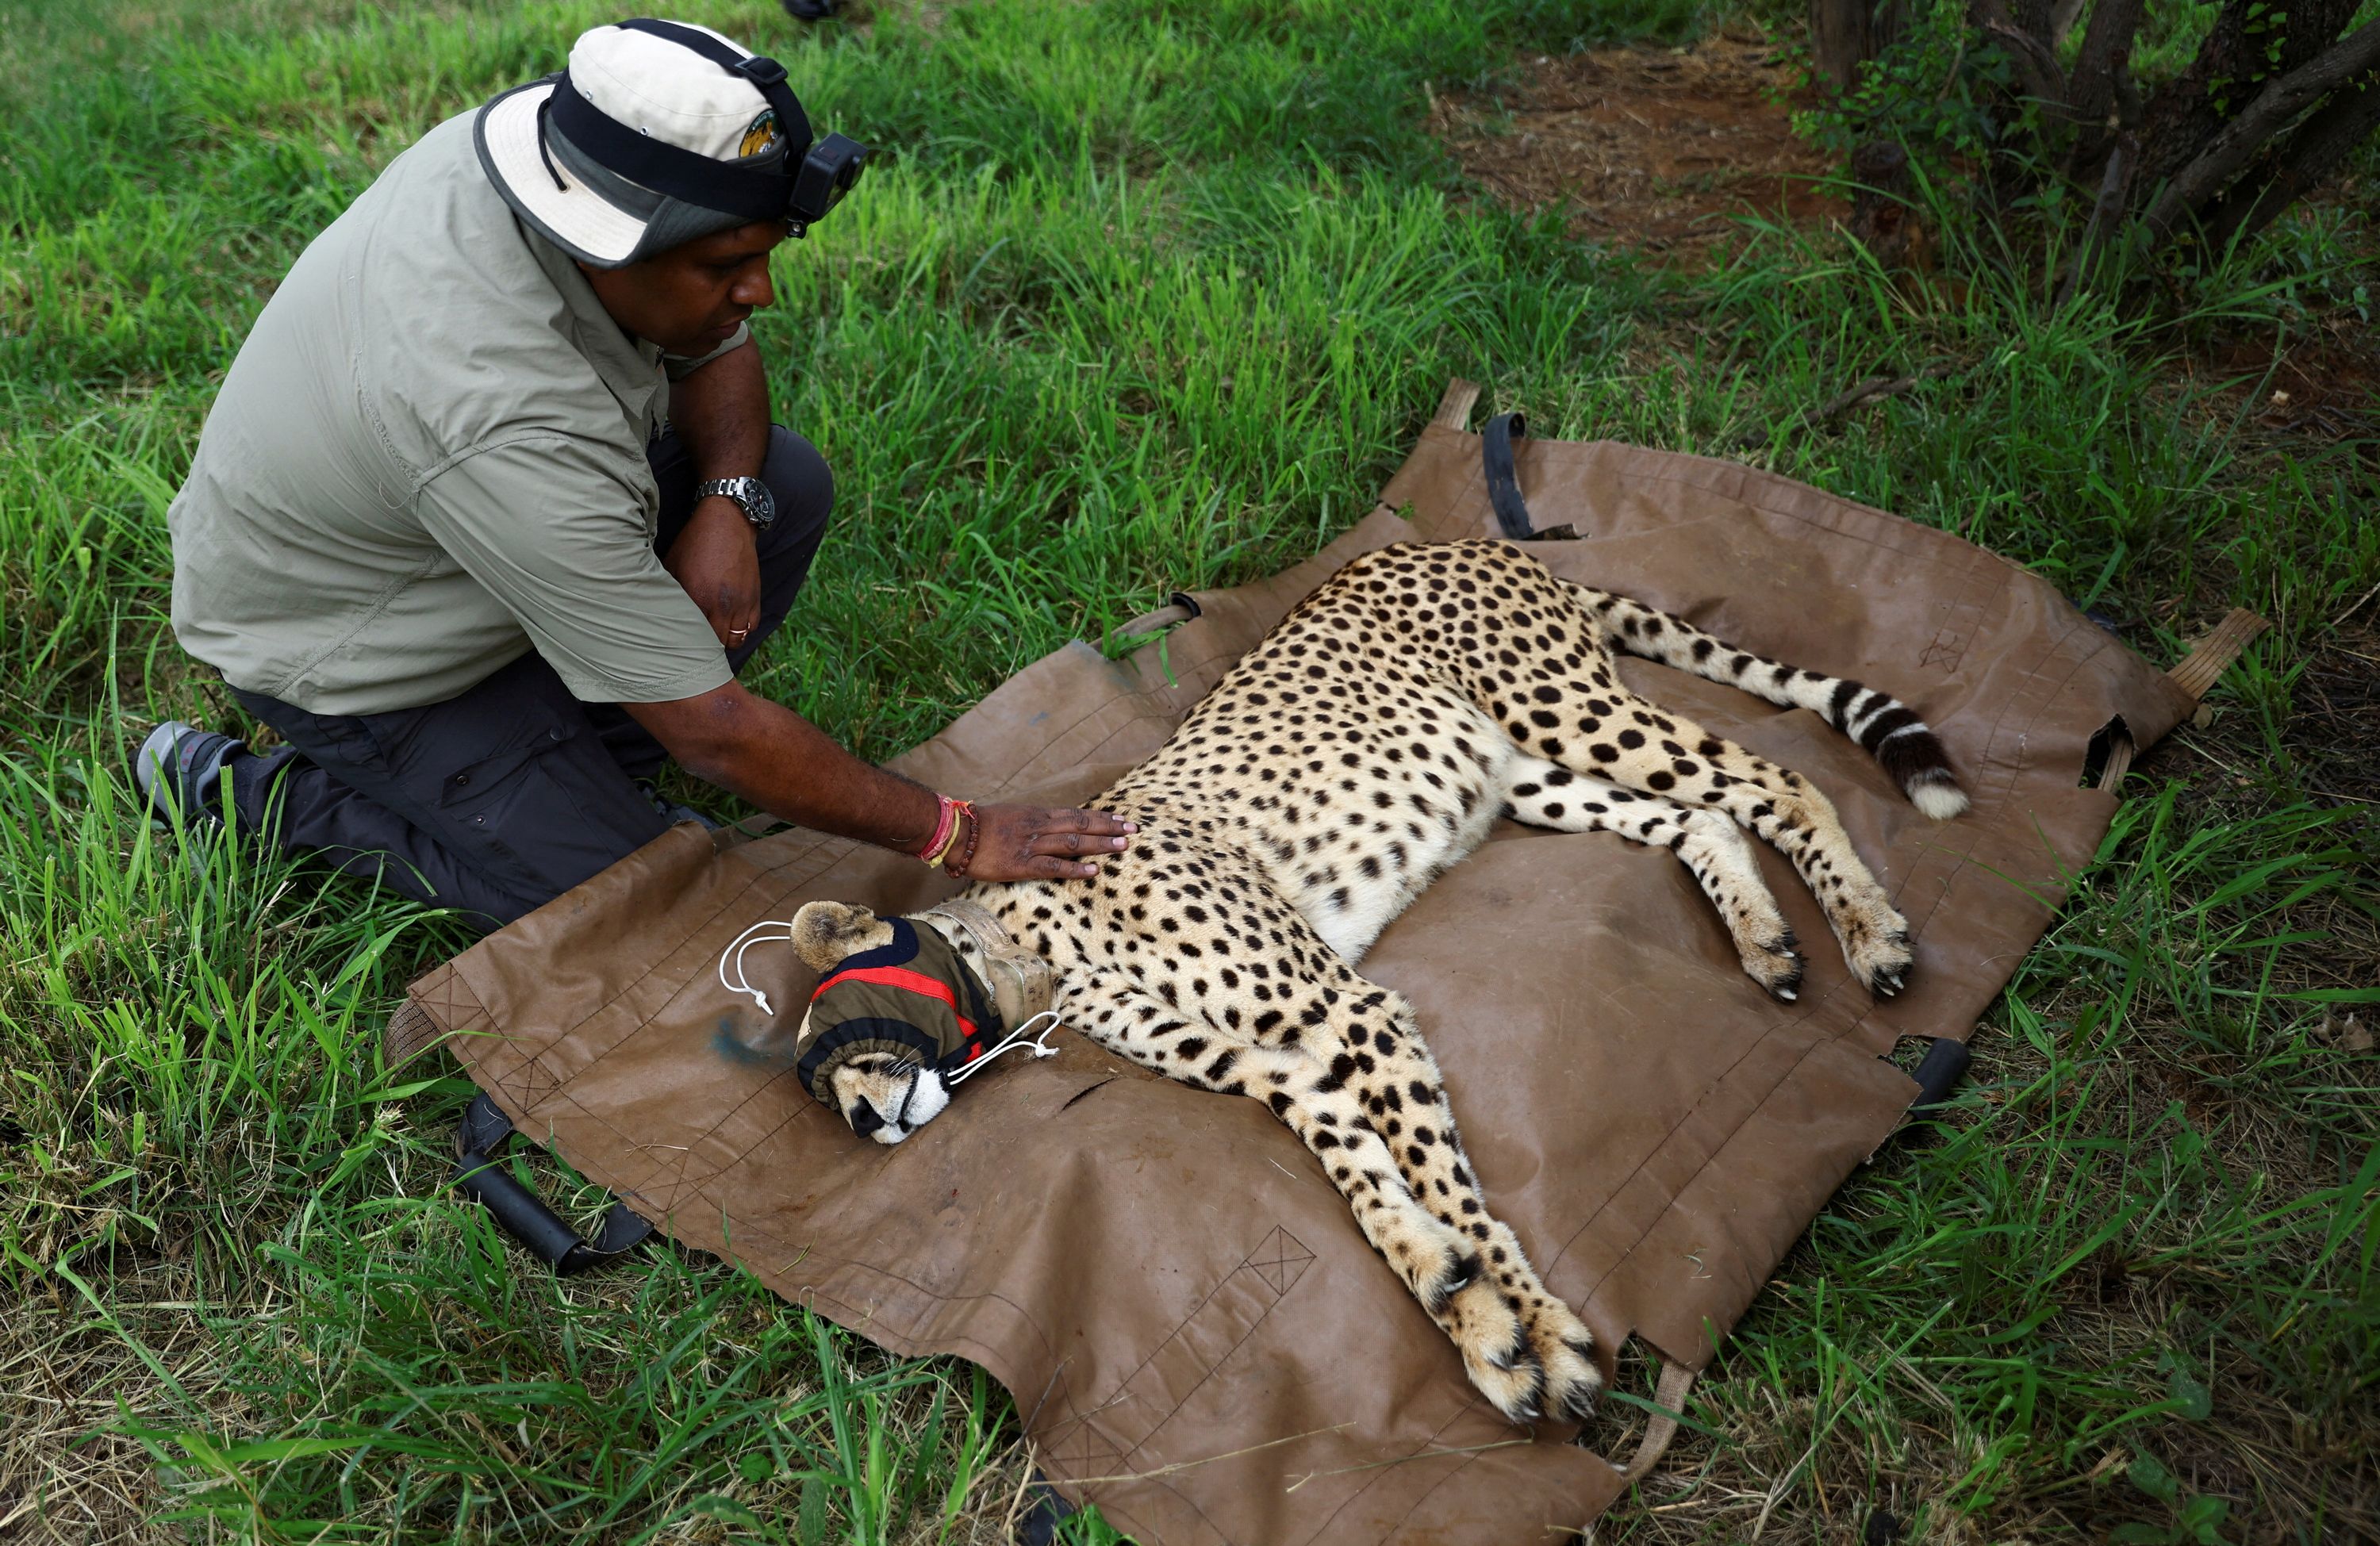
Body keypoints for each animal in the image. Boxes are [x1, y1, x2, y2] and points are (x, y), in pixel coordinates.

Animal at [781, 539, 1971, 1417]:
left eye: (832, 1039)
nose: (859, 1123)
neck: (1024, 946)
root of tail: (1450, 538)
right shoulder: (1283, 1062)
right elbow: (1358, 1168)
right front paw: (1474, 1317)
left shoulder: (1348, 1006)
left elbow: (1456, 1187)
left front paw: (1540, 1333)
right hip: (1523, 774)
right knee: (1699, 817)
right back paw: (1764, 935)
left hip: (1563, 710)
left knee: (1780, 774)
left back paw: (1868, 930)